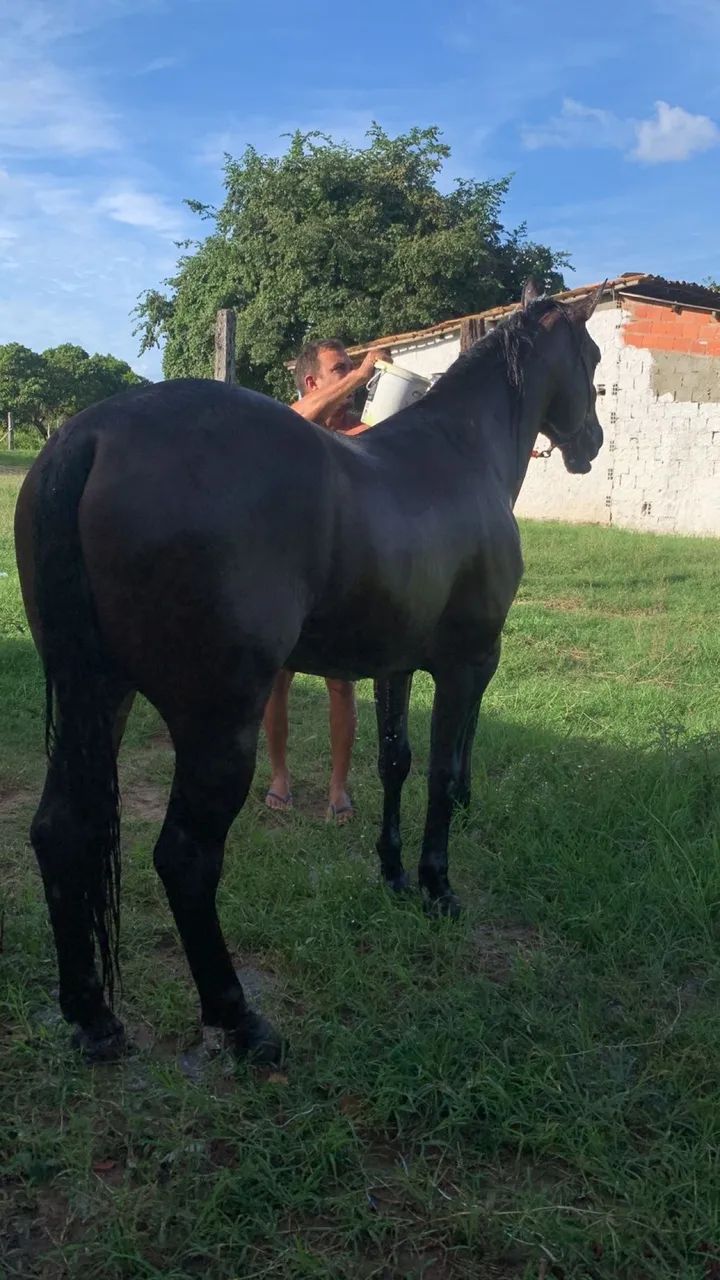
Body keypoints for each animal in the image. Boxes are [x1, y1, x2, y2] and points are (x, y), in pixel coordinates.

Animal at [14, 278, 604, 1066]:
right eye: (591, 355)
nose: (591, 443)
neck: (460, 453)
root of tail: (93, 435)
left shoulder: (396, 667)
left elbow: (395, 762)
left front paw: (392, 874)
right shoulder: (467, 664)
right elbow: (443, 773)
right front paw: (437, 888)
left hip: (97, 698)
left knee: (60, 830)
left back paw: (92, 1017)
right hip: (218, 725)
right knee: (185, 858)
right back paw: (239, 1021)